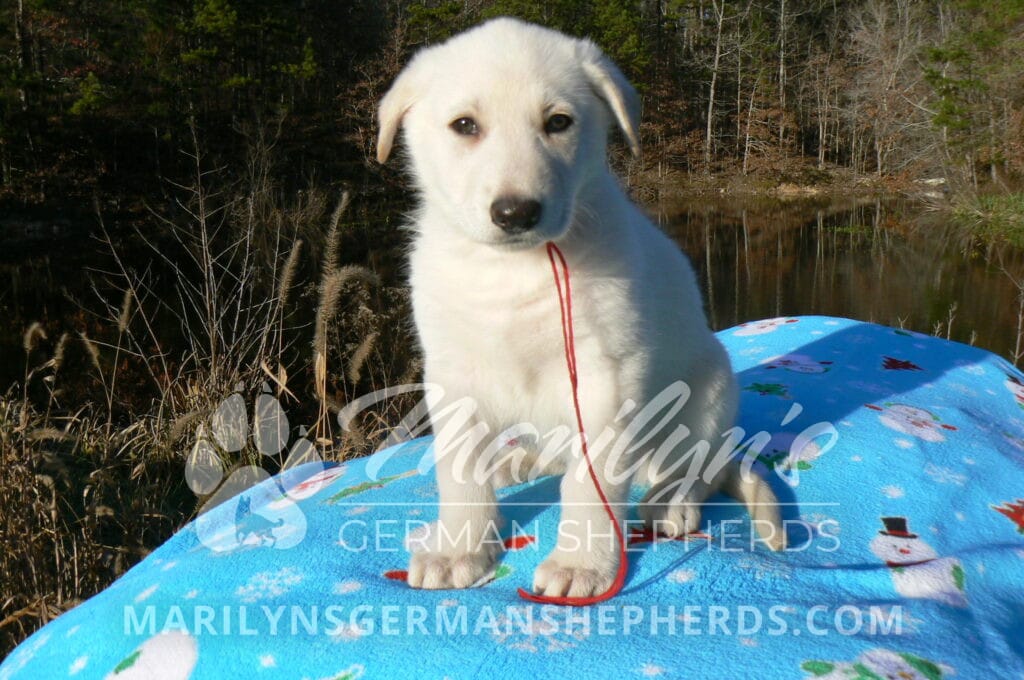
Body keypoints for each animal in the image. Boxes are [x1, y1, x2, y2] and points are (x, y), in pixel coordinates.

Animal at [376, 17, 785, 598]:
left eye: (558, 123)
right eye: (464, 125)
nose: (516, 212)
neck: (514, 271)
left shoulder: (605, 377)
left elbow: (589, 484)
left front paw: (580, 564)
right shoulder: (453, 375)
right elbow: (459, 474)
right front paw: (460, 549)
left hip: (708, 393)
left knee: (695, 467)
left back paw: (669, 501)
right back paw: (523, 460)